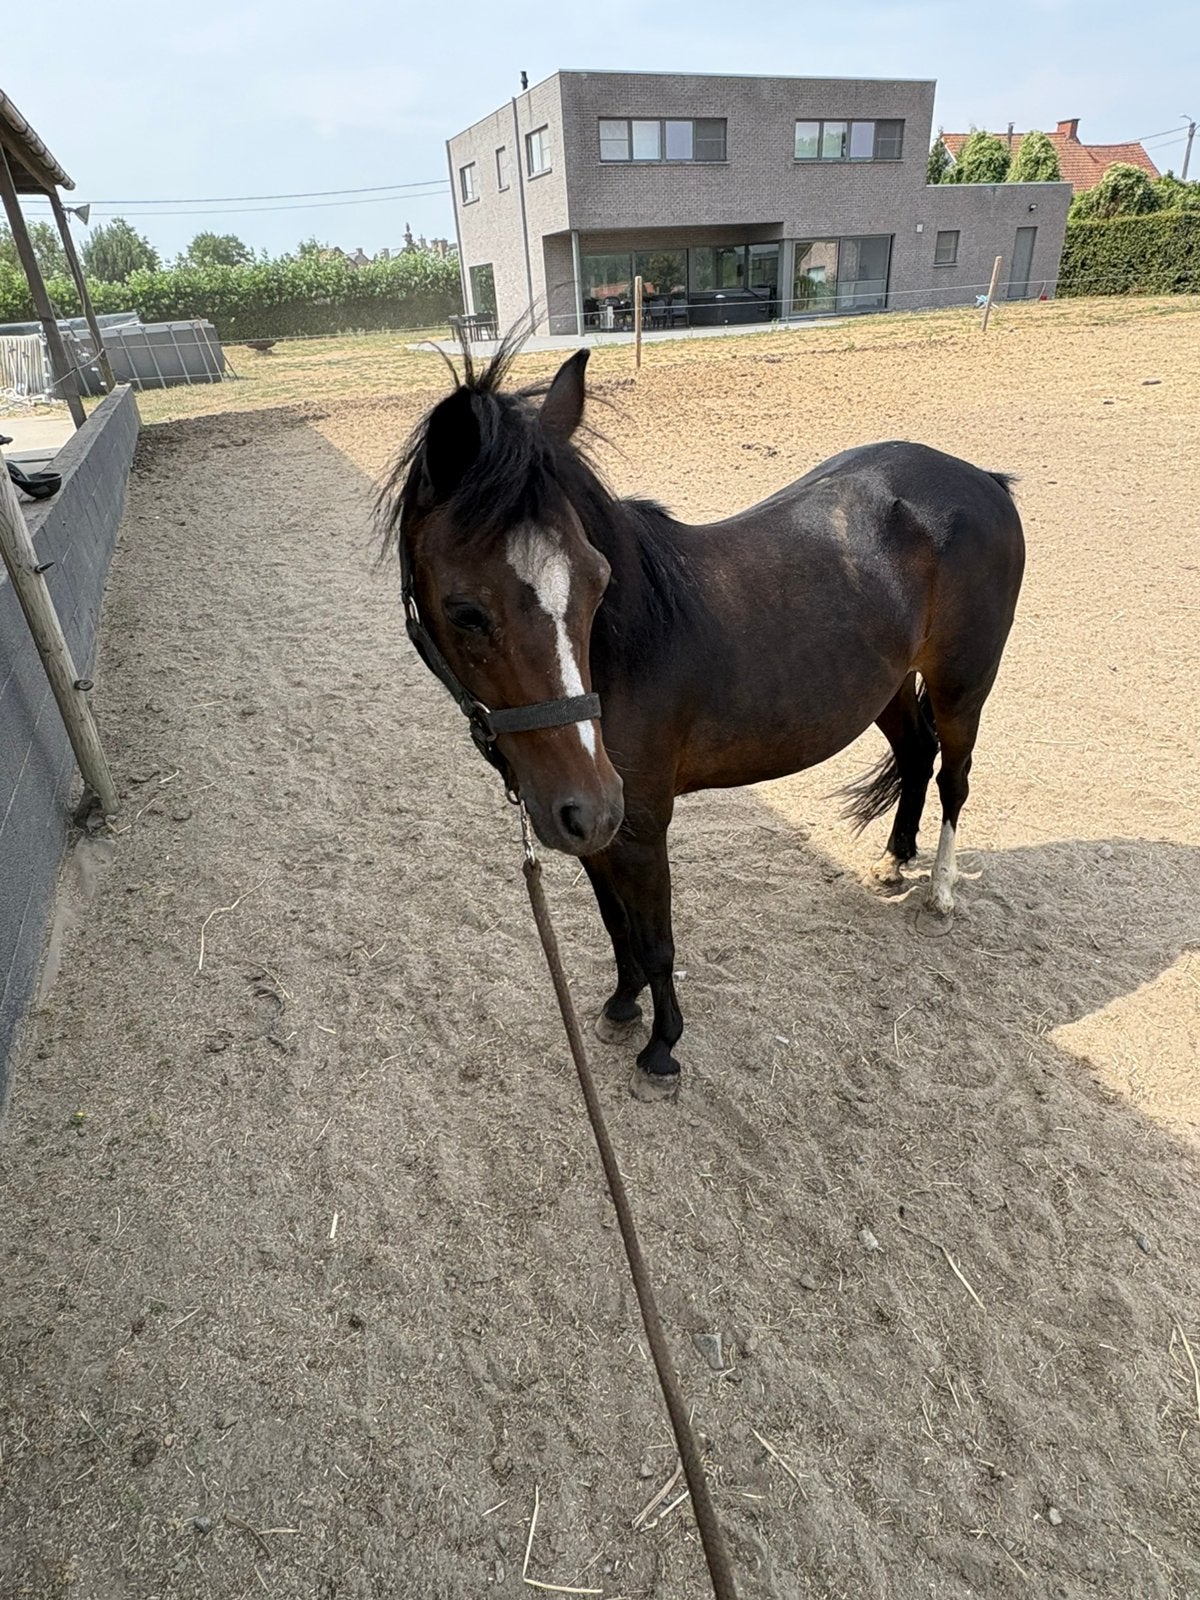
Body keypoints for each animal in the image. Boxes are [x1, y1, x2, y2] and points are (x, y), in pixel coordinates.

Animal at [379, 343, 1025, 1097]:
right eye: (465, 612)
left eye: (599, 581)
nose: (594, 799)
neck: (619, 658)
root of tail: (981, 480)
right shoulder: (593, 827)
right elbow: (616, 926)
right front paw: (620, 1007)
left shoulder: (639, 821)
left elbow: (656, 939)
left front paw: (662, 1048)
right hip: (887, 687)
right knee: (919, 755)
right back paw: (893, 863)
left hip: (962, 685)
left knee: (955, 777)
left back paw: (941, 896)